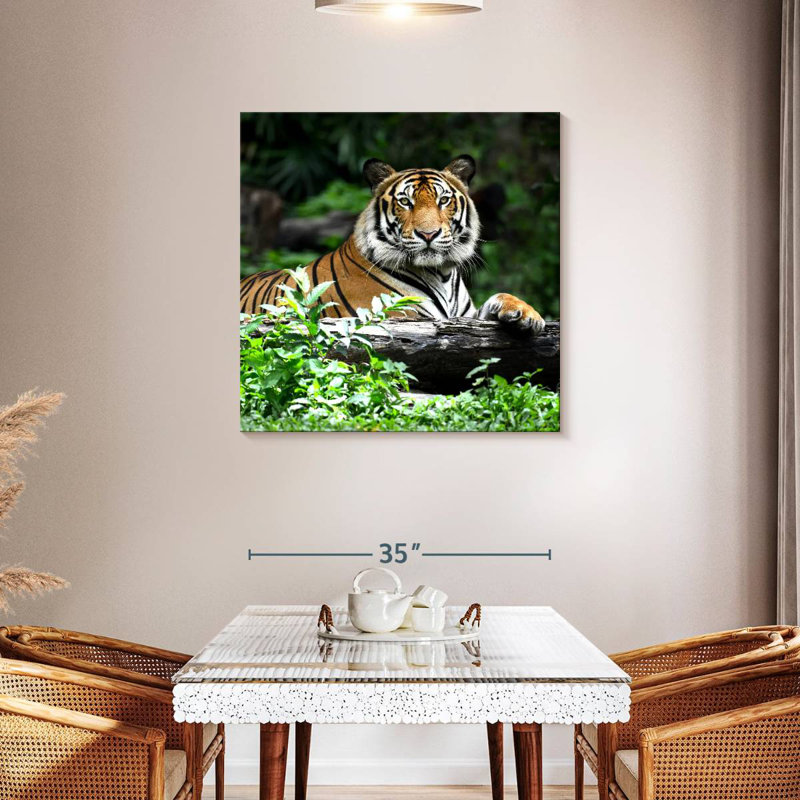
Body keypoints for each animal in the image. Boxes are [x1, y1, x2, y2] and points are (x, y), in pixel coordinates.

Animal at [240, 155, 545, 332]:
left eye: (443, 200)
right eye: (405, 202)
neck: (442, 274)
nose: (428, 234)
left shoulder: (464, 315)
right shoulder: (400, 315)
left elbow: (499, 297)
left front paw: (526, 314)